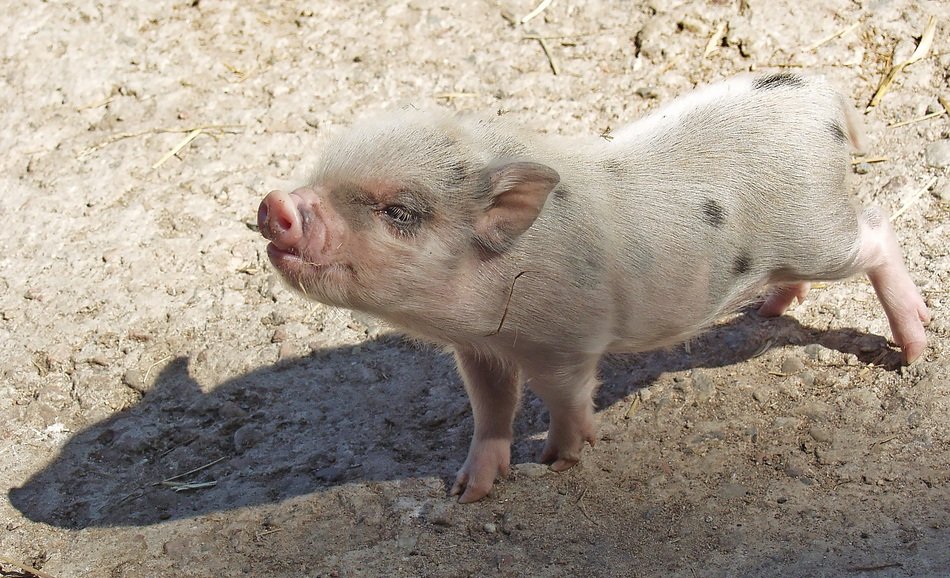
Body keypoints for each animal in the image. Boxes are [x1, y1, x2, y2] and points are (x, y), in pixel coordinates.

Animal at [257, 72, 930, 503]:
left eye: (399, 212)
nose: (275, 204)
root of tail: (822, 95)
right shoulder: (480, 350)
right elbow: (490, 410)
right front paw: (468, 492)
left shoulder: (568, 340)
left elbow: (565, 398)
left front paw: (560, 460)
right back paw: (767, 309)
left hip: (818, 231)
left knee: (878, 229)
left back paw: (913, 351)